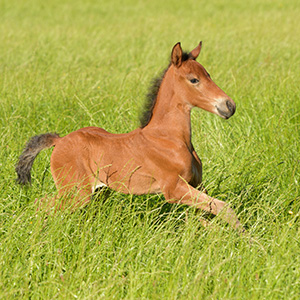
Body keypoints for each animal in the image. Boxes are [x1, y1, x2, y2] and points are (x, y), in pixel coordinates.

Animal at [15, 41, 243, 231]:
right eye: (194, 79)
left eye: (208, 74)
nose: (229, 106)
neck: (169, 138)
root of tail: (59, 140)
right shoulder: (174, 189)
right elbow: (224, 208)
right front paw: (246, 241)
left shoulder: (195, 185)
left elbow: (205, 217)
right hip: (74, 193)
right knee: (40, 205)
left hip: (97, 192)